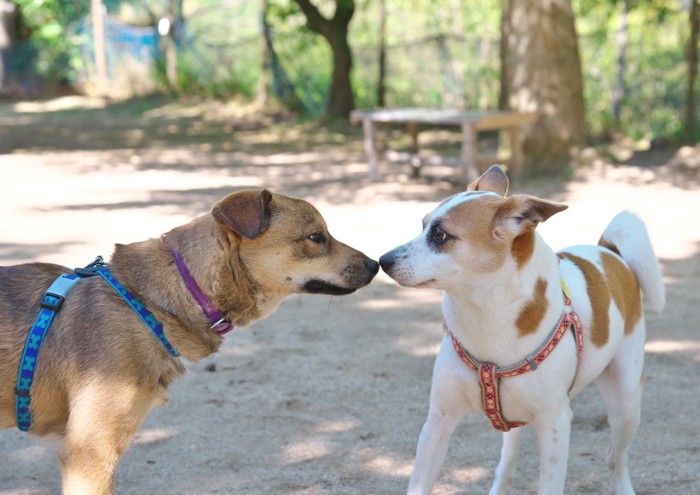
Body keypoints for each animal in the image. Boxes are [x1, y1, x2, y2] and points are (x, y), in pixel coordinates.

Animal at [380, 165, 664, 494]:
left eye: (439, 235)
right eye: (423, 225)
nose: (382, 260)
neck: (486, 313)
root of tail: (609, 251)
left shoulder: (555, 427)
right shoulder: (438, 422)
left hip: (626, 404)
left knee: (616, 458)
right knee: (508, 459)